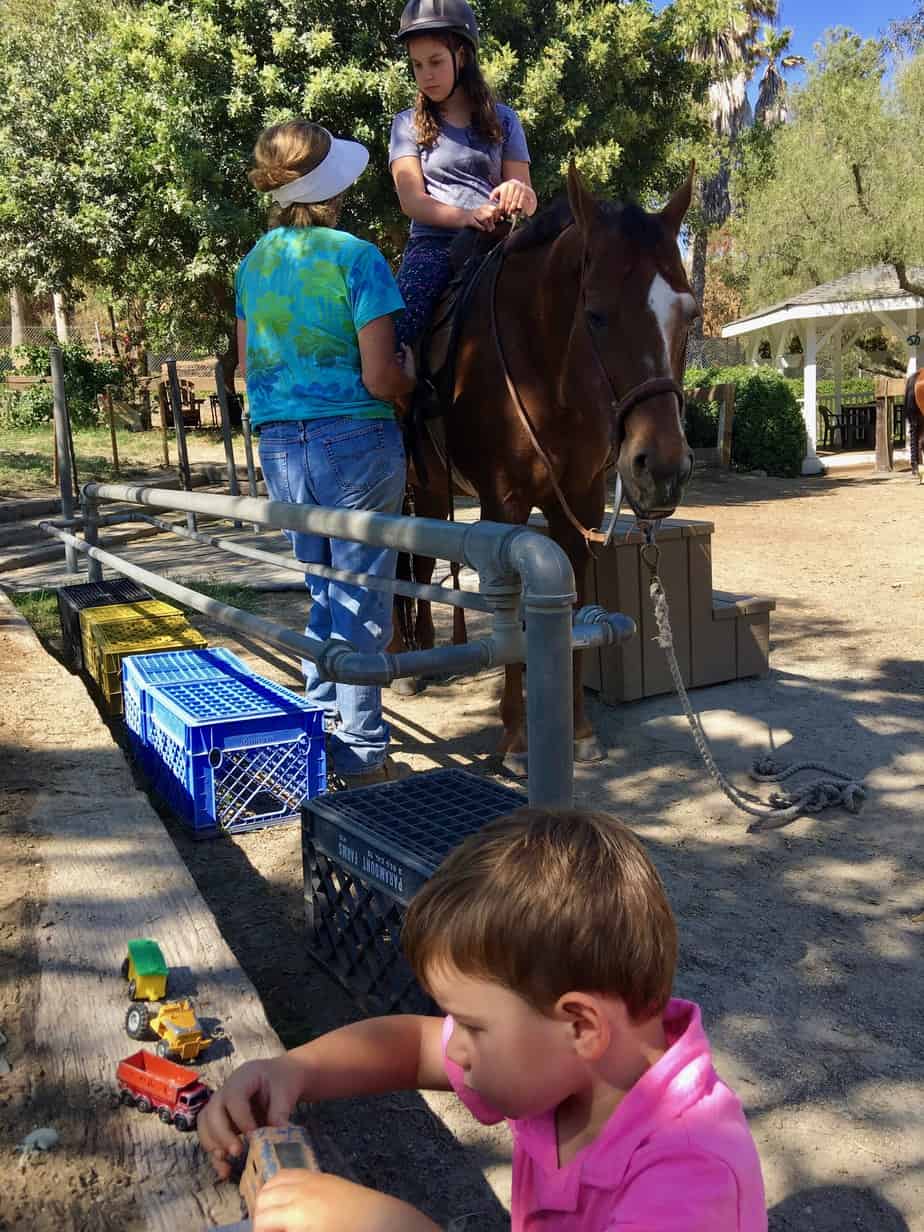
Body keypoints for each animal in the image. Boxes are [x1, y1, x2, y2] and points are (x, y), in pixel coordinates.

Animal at [394, 163, 699, 768]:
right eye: (596, 313)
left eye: (690, 315)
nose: (663, 468)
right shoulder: (503, 504)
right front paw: (515, 738)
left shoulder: (579, 503)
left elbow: (575, 606)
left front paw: (577, 731)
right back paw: (400, 658)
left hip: (433, 488)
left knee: (418, 561)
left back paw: (426, 653)